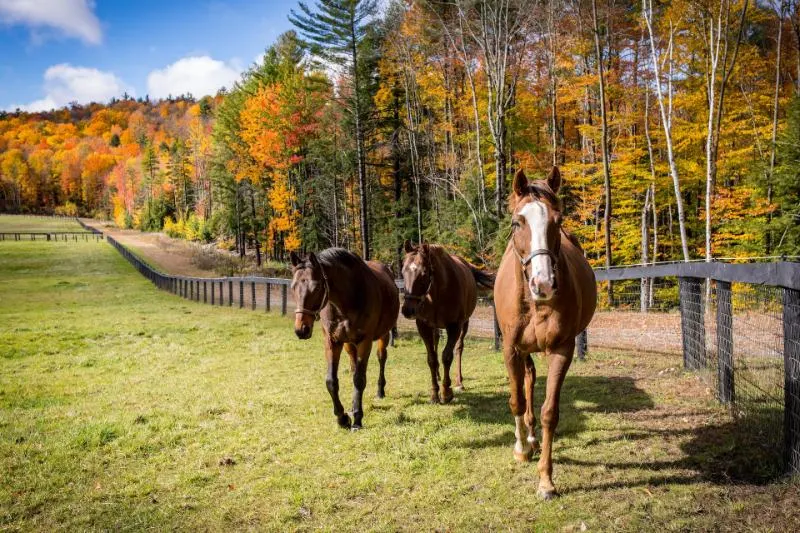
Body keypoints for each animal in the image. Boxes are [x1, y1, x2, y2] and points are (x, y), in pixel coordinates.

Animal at [290, 248, 400, 428]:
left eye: (317, 287)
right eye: (293, 287)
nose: (301, 329)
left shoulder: (365, 342)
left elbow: (359, 379)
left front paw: (357, 419)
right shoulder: (332, 342)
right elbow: (332, 381)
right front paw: (342, 417)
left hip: (383, 335)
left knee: (381, 358)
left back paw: (380, 391)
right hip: (349, 344)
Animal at [400, 241, 494, 404]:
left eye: (424, 273)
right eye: (403, 271)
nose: (407, 310)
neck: (438, 291)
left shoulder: (454, 326)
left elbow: (447, 356)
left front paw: (446, 392)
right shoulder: (423, 326)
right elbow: (432, 358)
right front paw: (434, 393)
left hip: (464, 324)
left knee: (459, 348)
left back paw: (459, 382)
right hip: (435, 327)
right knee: (436, 343)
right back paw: (438, 375)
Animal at [494, 167, 592, 498]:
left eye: (558, 221)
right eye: (517, 222)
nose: (544, 283)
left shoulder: (562, 349)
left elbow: (551, 412)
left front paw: (546, 480)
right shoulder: (511, 349)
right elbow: (516, 400)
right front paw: (521, 449)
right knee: (525, 383)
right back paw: (526, 439)